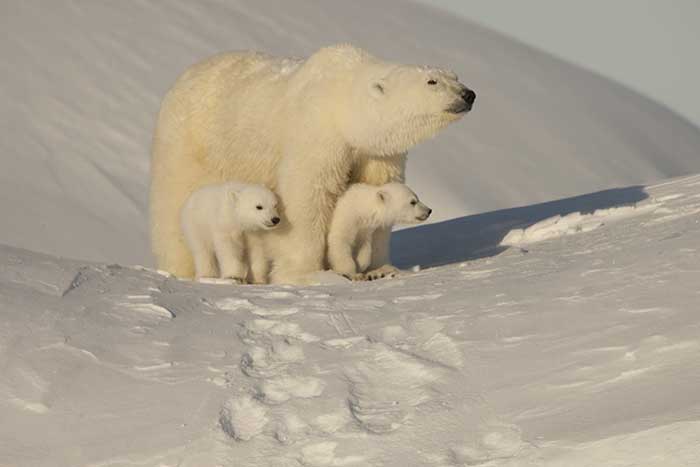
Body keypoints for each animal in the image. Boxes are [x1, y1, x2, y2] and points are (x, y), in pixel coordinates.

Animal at [150, 44, 474, 286]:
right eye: (432, 81)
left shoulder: (376, 153)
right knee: (176, 208)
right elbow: (308, 195)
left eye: (454, 75)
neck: (342, 102)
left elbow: (378, 194)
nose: (468, 94)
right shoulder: (316, 132)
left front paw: (381, 268)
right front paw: (309, 273)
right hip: (190, 145)